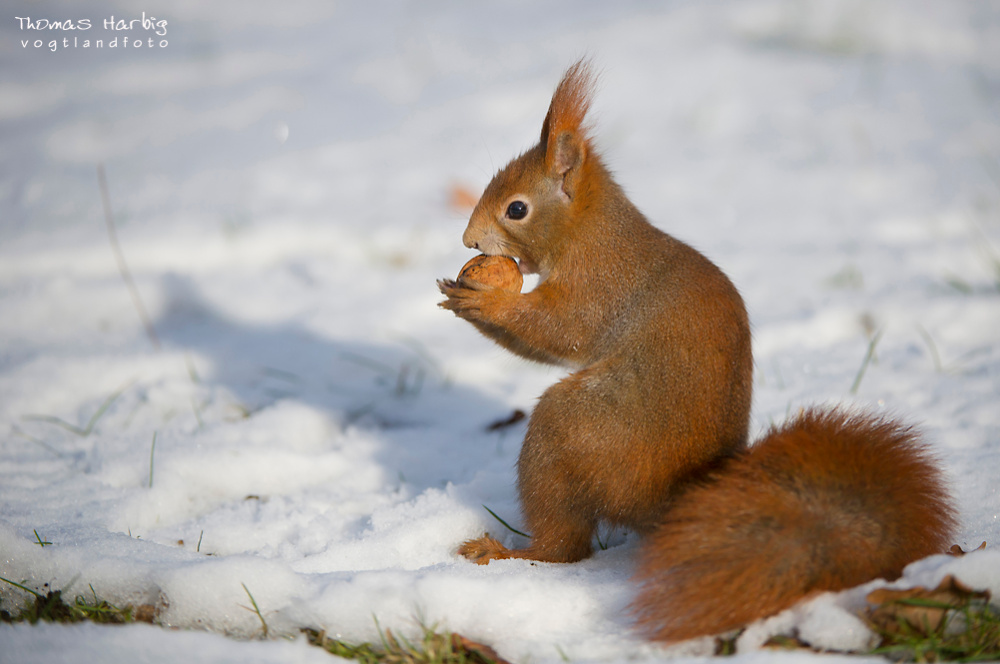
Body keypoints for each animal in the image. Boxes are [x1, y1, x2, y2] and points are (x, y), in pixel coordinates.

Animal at [436, 61, 952, 644]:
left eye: (517, 209)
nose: (469, 241)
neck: (590, 232)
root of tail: (677, 501)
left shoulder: (601, 286)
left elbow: (561, 331)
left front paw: (484, 300)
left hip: (571, 434)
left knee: (565, 546)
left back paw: (504, 553)